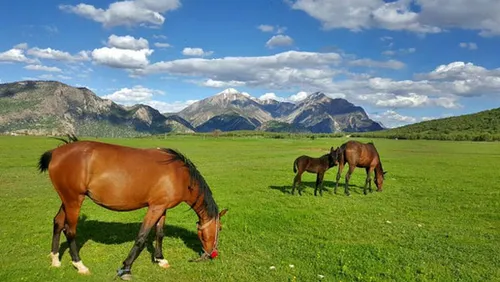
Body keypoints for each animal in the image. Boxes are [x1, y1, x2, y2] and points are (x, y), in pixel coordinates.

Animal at [37, 135, 229, 280]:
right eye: (219, 228)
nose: (211, 254)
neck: (179, 174)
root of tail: (56, 152)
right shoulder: (154, 208)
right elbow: (141, 237)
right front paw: (126, 268)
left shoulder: (162, 208)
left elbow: (159, 234)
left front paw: (160, 259)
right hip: (74, 200)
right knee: (70, 230)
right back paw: (79, 265)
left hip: (67, 200)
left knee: (58, 222)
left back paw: (55, 259)